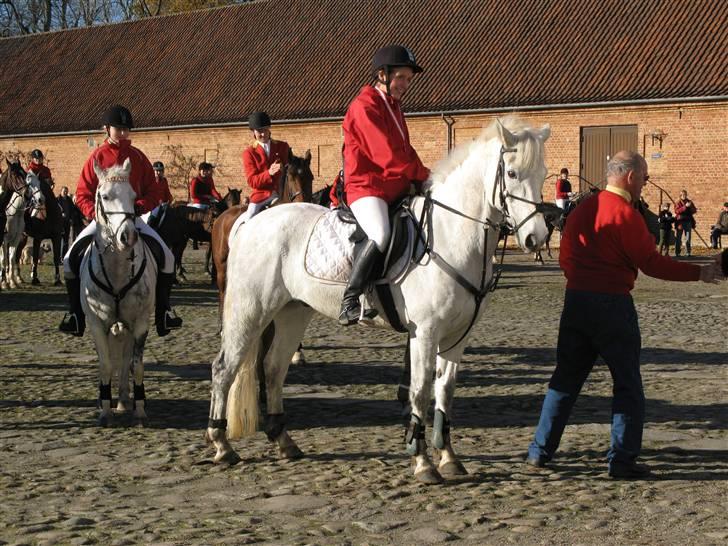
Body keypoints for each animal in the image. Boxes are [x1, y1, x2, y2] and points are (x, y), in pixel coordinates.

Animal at [80, 159, 157, 428]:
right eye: (104, 196)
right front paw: (105, 411)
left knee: (124, 360)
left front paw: (140, 410)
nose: (128, 236)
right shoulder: (96, 323)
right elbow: (105, 365)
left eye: (134, 196)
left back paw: (124, 400)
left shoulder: (141, 321)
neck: (117, 271)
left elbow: (136, 364)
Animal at [208, 117, 548, 482]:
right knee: (225, 368)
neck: (451, 235)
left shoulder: (458, 336)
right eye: (511, 173)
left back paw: (283, 440)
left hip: (293, 312)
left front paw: (448, 456)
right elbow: (420, 390)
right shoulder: (425, 332)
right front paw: (422, 461)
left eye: (543, 173)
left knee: (273, 367)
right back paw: (222, 445)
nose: (536, 238)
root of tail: (251, 222)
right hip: (250, 309)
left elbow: (445, 390)